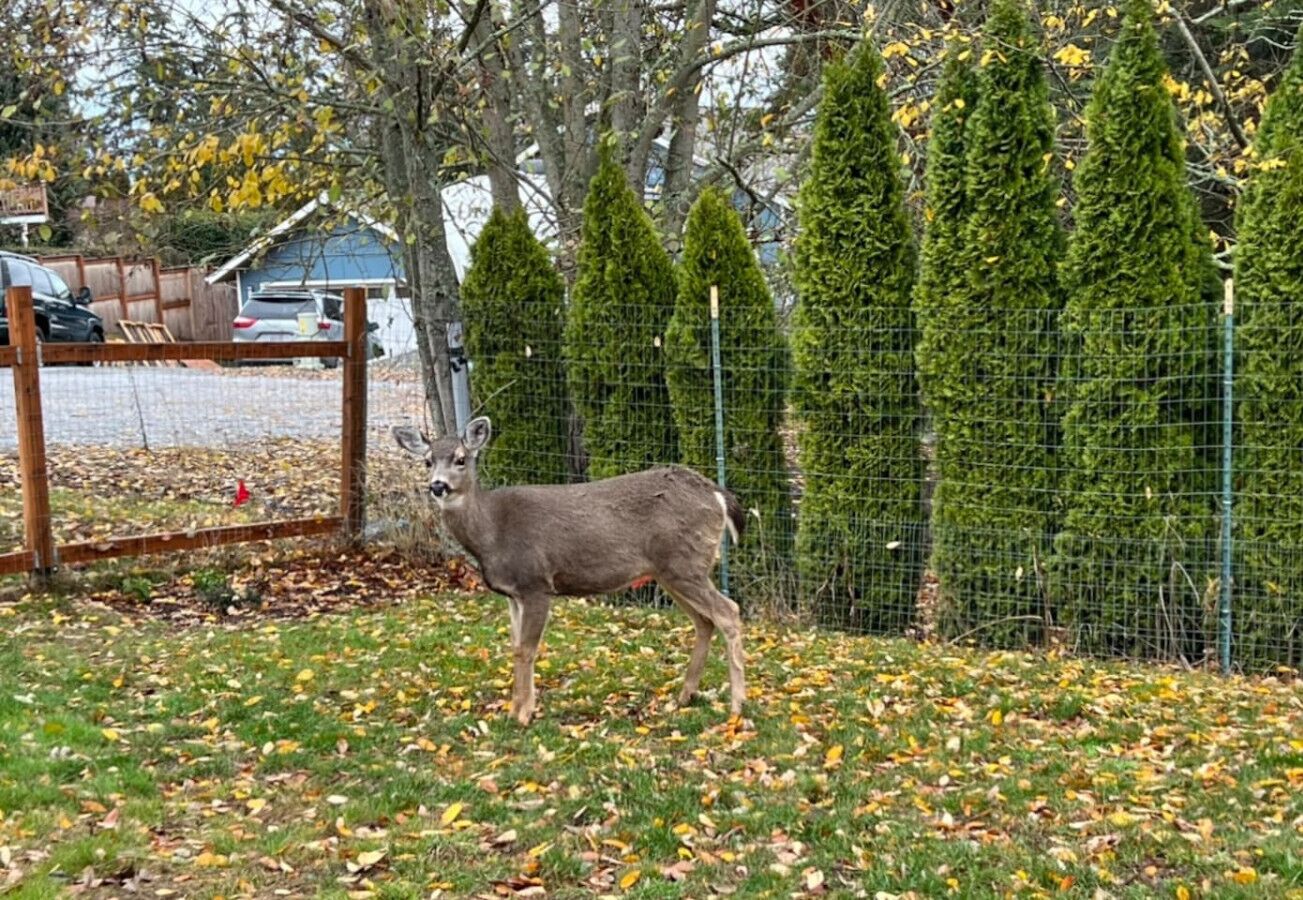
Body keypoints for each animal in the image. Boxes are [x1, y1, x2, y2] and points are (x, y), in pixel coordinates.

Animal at [393, 416, 747, 726]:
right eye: (427, 461)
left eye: (461, 459)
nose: (438, 486)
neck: (491, 533)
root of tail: (716, 494)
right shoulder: (512, 595)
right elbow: (515, 647)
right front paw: (518, 708)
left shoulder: (536, 583)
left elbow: (527, 650)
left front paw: (522, 714)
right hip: (671, 570)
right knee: (704, 621)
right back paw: (684, 696)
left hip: (685, 564)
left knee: (728, 611)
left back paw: (737, 706)